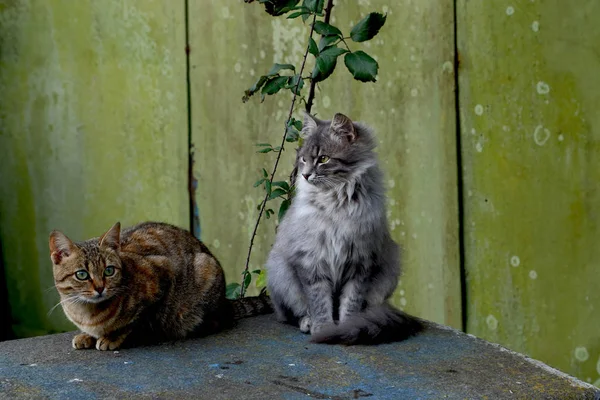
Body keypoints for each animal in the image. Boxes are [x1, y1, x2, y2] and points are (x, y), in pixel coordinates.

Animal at [49, 222, 270, 350]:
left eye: (109, 271)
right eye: (82, 275)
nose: (100, 287)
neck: (87, 314)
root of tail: (226, 301)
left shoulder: (162, 278)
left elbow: (134, 323)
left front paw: (112, 337)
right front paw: (87, 336)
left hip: (205, 269)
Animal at [268, 111, 422, 344]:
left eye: (323, 159)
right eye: (304, 159)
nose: (305, 175)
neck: (336, 202)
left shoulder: (360, 261)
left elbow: (350, 302)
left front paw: (347, 326)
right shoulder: (312, 261)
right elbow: (319, 302)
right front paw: (323, 328)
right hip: (281, 275)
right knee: (292, 313)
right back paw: (307, 322)